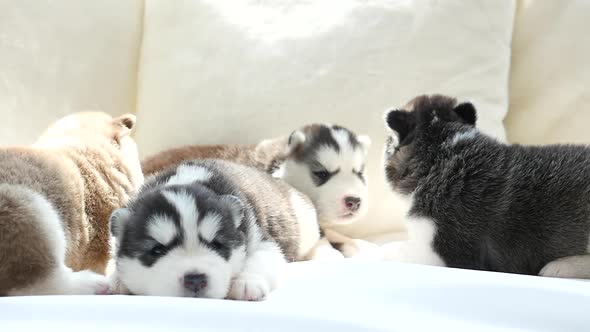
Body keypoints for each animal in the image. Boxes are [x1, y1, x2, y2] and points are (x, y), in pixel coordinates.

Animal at [108, 160, 322, 300]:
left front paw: (246, 281)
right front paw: (116, 280)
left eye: (217, 246)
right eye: (157, 250)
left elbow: (262, 258)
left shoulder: (263, 240)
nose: (195, 280)